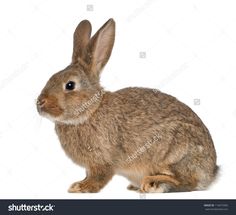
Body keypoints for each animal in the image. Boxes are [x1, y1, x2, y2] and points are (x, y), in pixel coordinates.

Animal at [36, 18, 218, 193]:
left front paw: (82, 187)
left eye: (70, 85)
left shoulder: (102, 160)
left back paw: (154, 184)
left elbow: (99, 177)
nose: (39, 102)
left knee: (187, 182)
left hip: (176, 153)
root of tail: (212, 172)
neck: (90, 111)